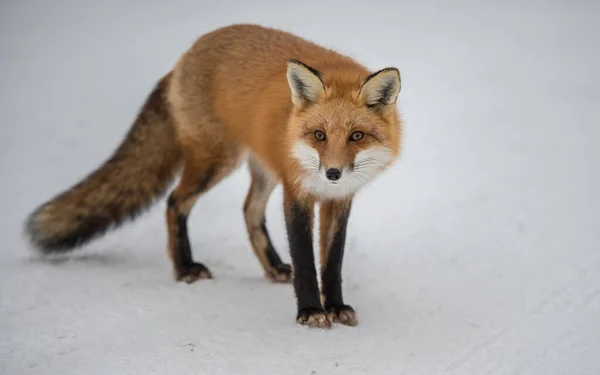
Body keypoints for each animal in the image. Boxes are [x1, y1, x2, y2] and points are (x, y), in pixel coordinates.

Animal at [27, 24, 404, 328]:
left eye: (357, 136)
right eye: (319, 135)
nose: (332, 173)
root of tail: (185, 57)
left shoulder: (338, 200)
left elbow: (332, 262)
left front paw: (336, 306)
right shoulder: (297, 193)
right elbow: (305, 259)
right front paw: (311, 311)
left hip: (264, 168)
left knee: (249, 210)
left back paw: (273, 268)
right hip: (215, 162)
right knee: (174, 202)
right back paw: (185, 268)